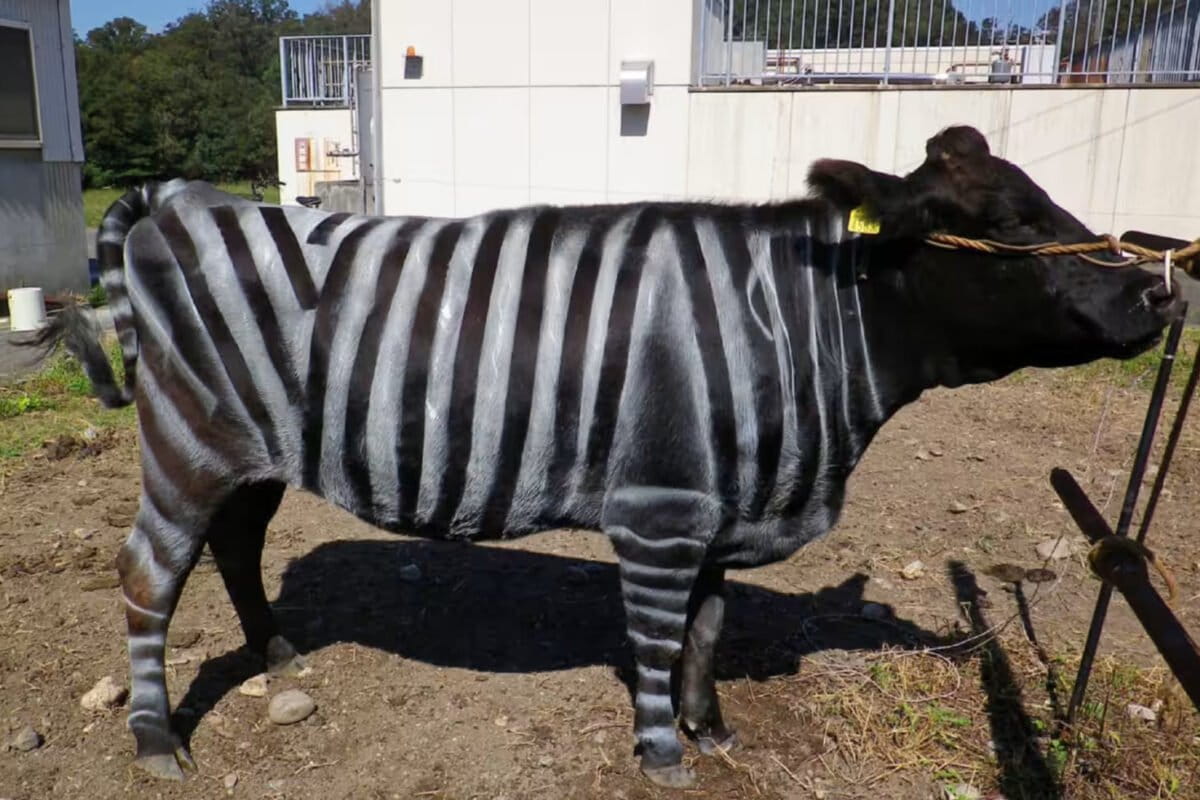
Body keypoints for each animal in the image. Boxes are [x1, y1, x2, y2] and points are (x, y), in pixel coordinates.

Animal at [34, 126, 1178, 788]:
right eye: (1001, 224)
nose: (1159, 290)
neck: (791, 328)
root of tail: (183, 197)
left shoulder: (722, 504)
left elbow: (708, 631)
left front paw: (714, 732)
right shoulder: (662, 509)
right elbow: (662, 639)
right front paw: (665, 754)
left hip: (256, 451)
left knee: (233, 547)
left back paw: (277, 658)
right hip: (187, 442)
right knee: (150, 576)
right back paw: (157, 743)